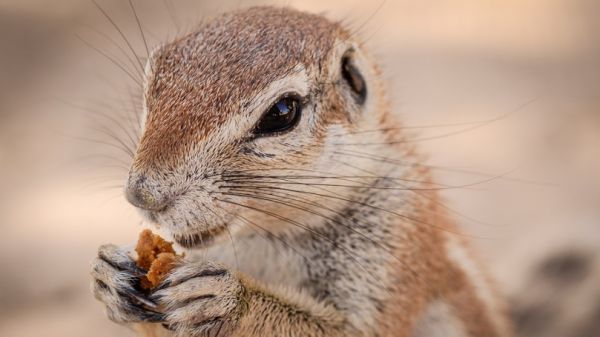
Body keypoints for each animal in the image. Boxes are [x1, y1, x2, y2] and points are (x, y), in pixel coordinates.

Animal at [91, 5, 512, 336]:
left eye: (282, 112)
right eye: (154, 79)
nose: (142, 194)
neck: (269, 237)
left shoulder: (397, 247)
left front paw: (227, 299)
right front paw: (109, 274)